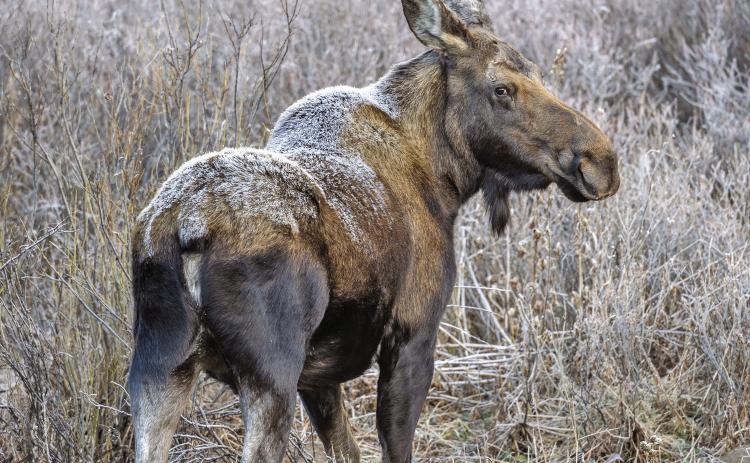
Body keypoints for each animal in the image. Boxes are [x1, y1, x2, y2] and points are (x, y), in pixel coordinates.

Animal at [127, 0, 620, 461]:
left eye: (538, 72)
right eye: (502, 88)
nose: (600, 162)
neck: (445, 180)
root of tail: (184, 229)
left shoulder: (318, 376)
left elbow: (345, 447)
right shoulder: (414, 333)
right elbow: (394, 445)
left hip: (158, 370)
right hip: (269, 376)